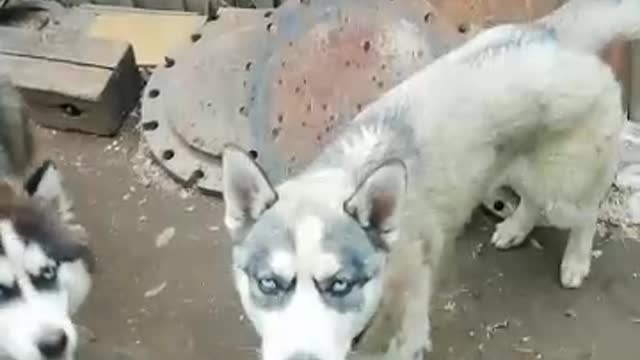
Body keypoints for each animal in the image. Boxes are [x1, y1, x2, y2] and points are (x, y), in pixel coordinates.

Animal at [221, 1, 640, 358]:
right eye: (268, 283)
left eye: (340, 284)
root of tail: (552, 33)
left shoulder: (405, 337)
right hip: (514, 164)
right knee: (531, 198)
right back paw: (515, 228)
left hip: (564, 190)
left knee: (586, 215)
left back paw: (576, 262)